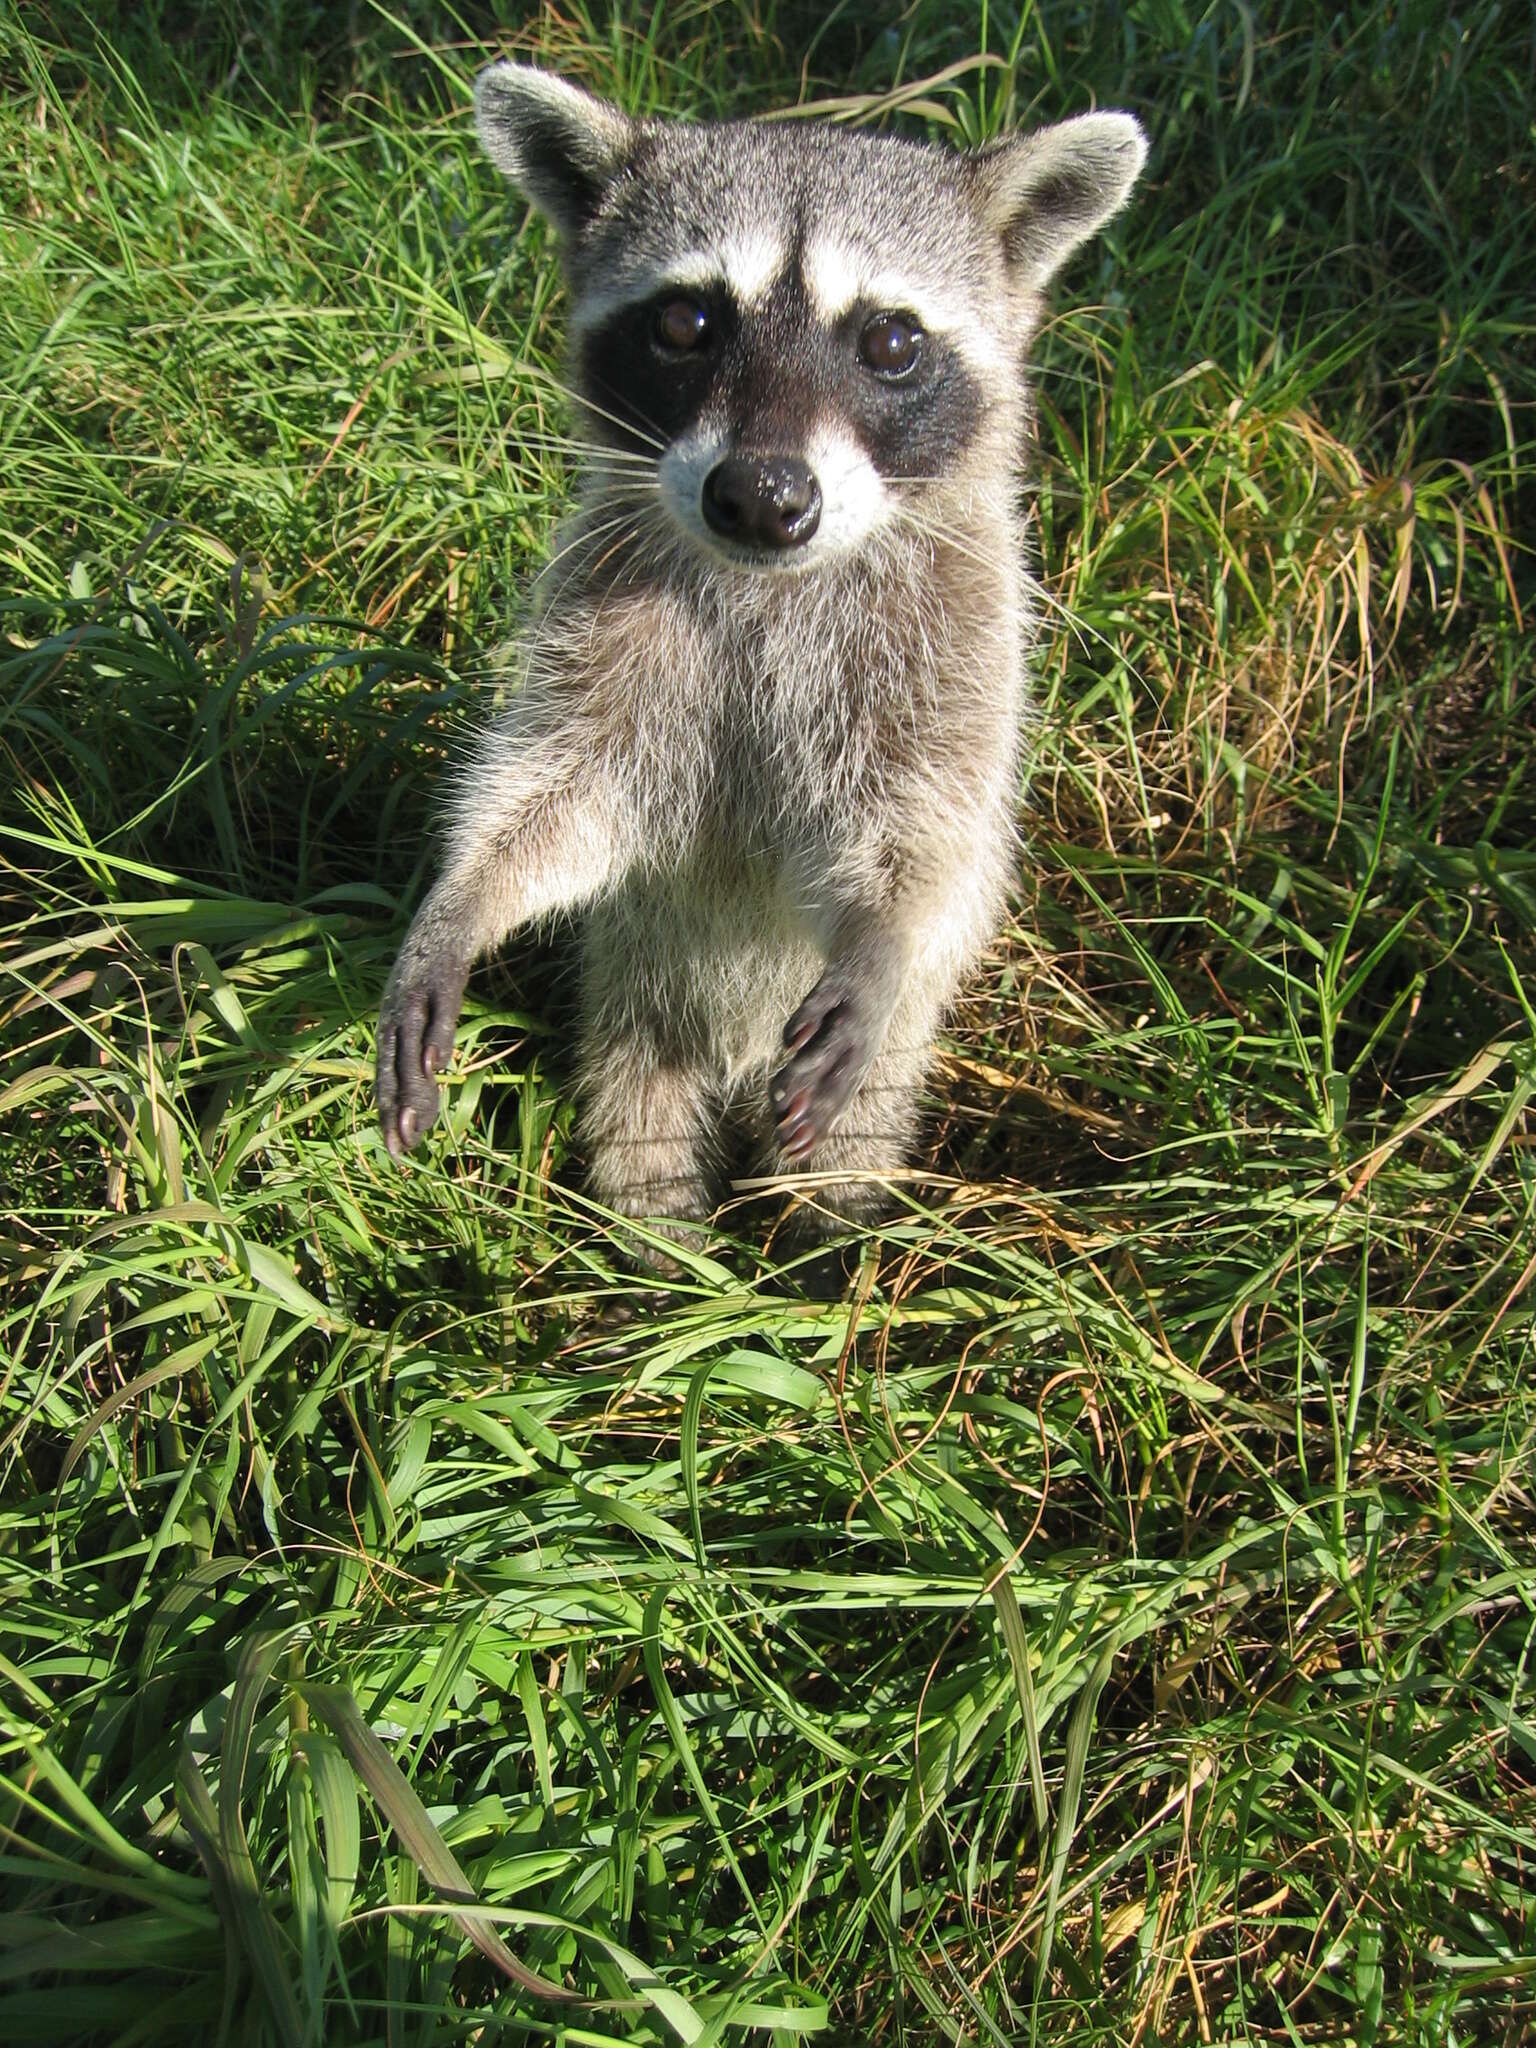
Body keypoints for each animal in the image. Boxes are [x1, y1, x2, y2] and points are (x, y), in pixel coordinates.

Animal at [376, 59, 1146, 1245]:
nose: (762, 493)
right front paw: (460, 901)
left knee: (842, 1145)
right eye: (686, 320)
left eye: (889, 342)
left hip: (872, 1063)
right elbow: (558, 798)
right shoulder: (606, 621)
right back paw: (659, 1252)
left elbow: (922, 828)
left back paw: (825, 1249)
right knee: (640, 1115)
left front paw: (881, 929)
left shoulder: (957, 636)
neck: (767, 583)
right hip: (637, 1000)